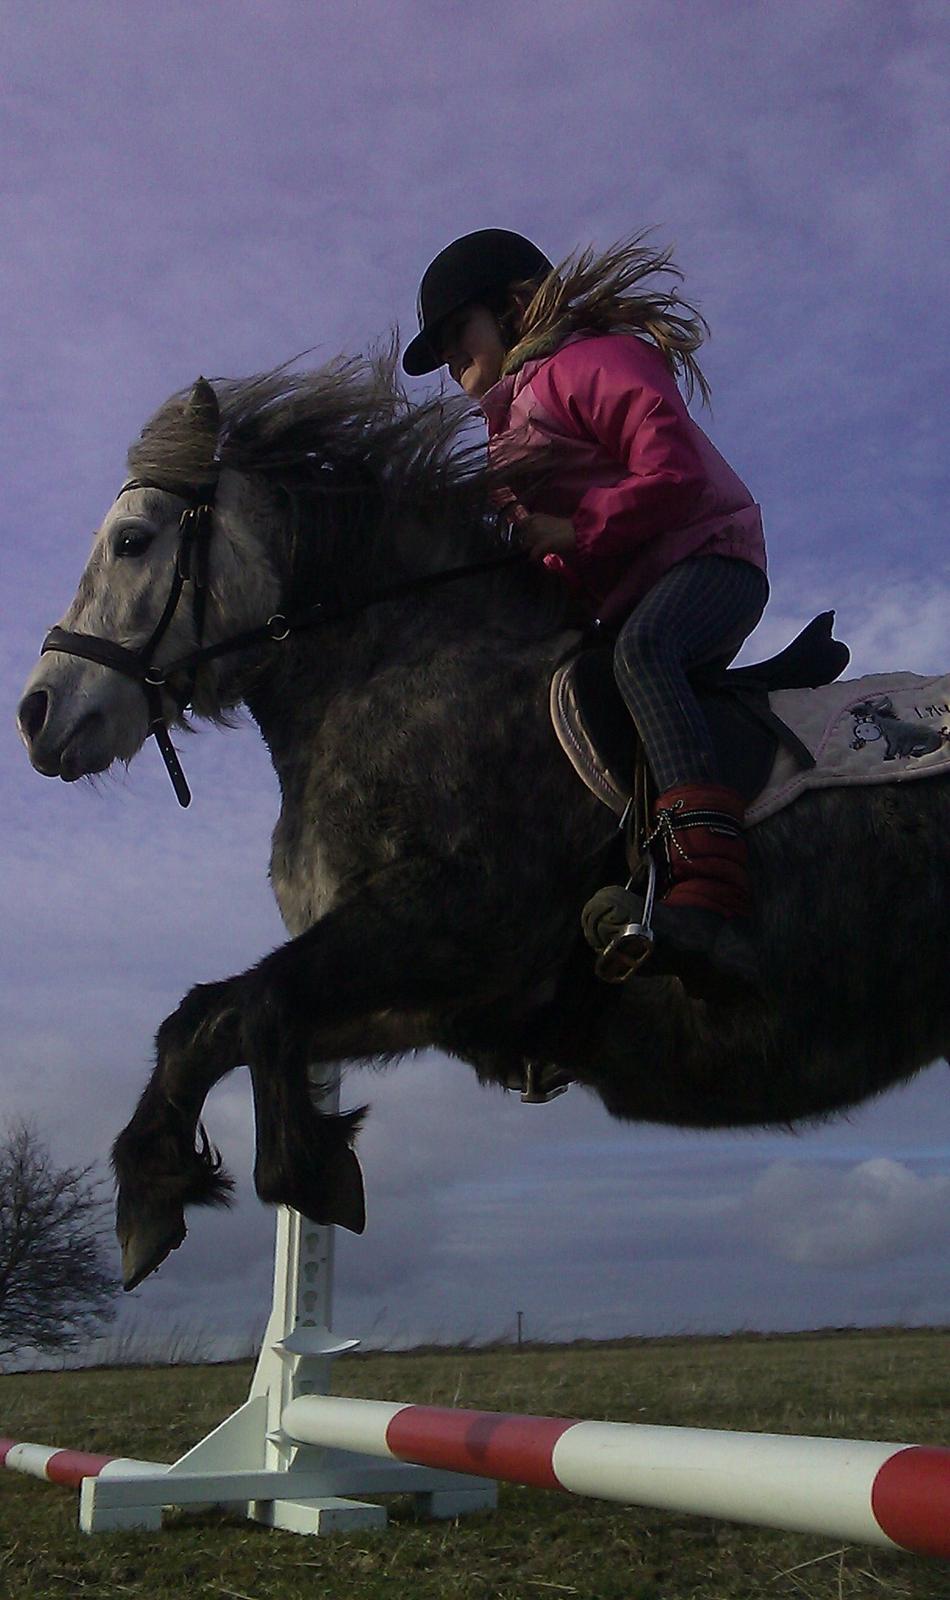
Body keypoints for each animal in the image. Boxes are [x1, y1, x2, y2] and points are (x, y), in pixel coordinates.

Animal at [16, 363, 946, 1286]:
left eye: (132, 540)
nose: (36, 714)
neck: (395, 664)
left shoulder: (461, 927)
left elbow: (258, 1002)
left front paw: (305, 1170)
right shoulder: (435, 997)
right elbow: (208, 1020)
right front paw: (152, 1193)